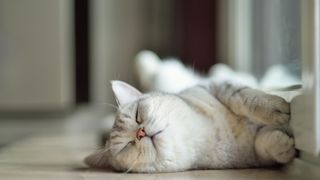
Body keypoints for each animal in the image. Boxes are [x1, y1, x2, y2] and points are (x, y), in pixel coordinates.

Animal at [84, 80, 296, 173]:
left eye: (137, 116)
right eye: (126, 145)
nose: (141, 133)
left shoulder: (214, 86)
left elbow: (242, 96)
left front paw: (277, 107)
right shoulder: (254, 157)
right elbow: (261, 144)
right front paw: (282, 146)